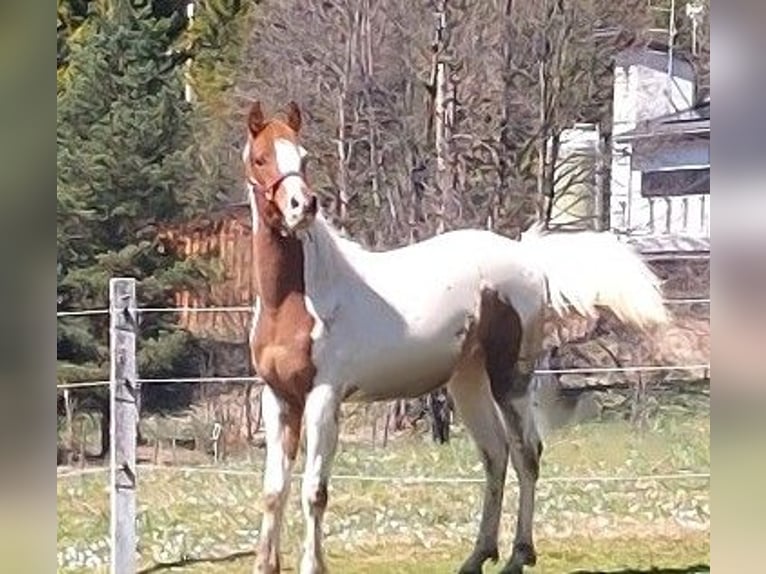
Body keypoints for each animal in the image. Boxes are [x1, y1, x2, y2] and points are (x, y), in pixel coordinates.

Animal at [242, 100, 669, 574]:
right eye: (260, 158)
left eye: (303, 158)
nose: (303, 206)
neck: (301, 298)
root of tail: (527, 255)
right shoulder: (278, 398)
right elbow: (273, 490)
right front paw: (264, 564)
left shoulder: (323, 397)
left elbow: (314, 491)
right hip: (468, 382)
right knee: (496, 455)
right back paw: (477, 555)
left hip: (510, 379)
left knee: (527, 453)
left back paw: (518, 556)